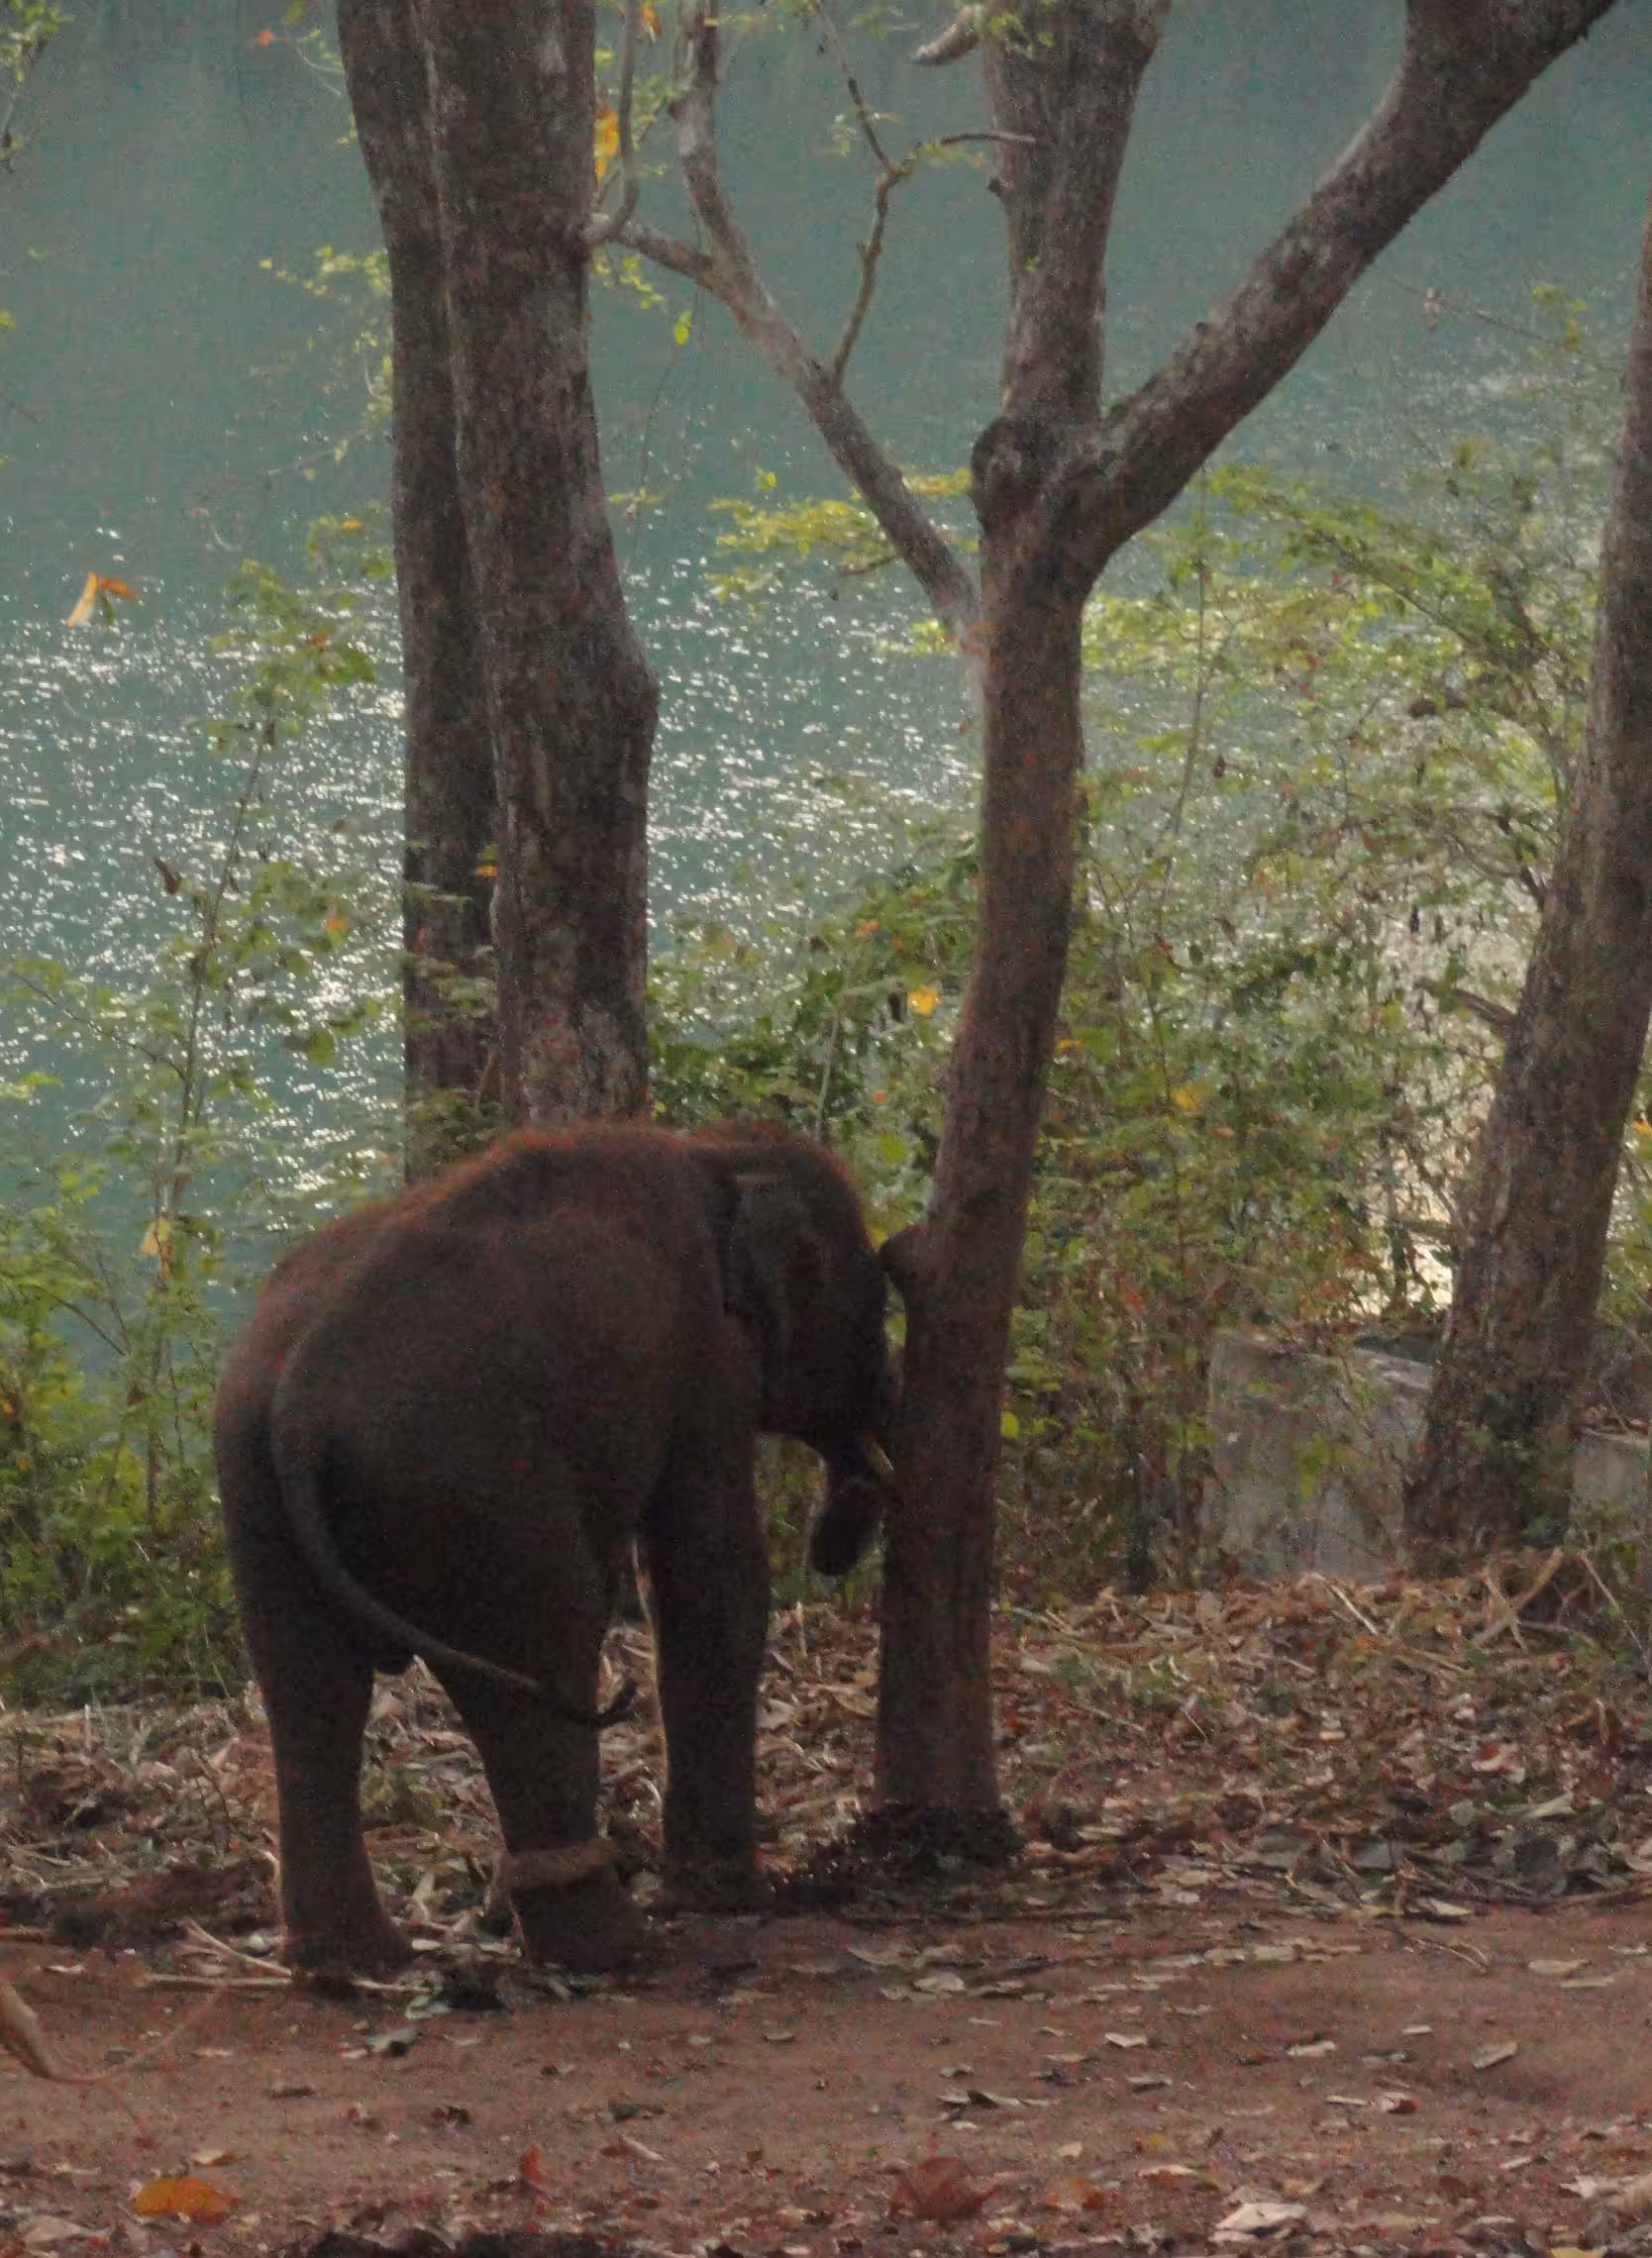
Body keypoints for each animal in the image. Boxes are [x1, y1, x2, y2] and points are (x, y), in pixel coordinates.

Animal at [213, 1119, 902, 1977]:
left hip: (253, 1487)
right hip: (475, 1489)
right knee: (546, 1642)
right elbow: (709, 1578)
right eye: (877, 1304)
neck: (713, 1149)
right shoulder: (705, 1356)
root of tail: (299, 1404)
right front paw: (725, 1897)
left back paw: (352, 1960)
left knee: (308, 1681)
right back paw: (612, 1949)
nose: (837, 1535)